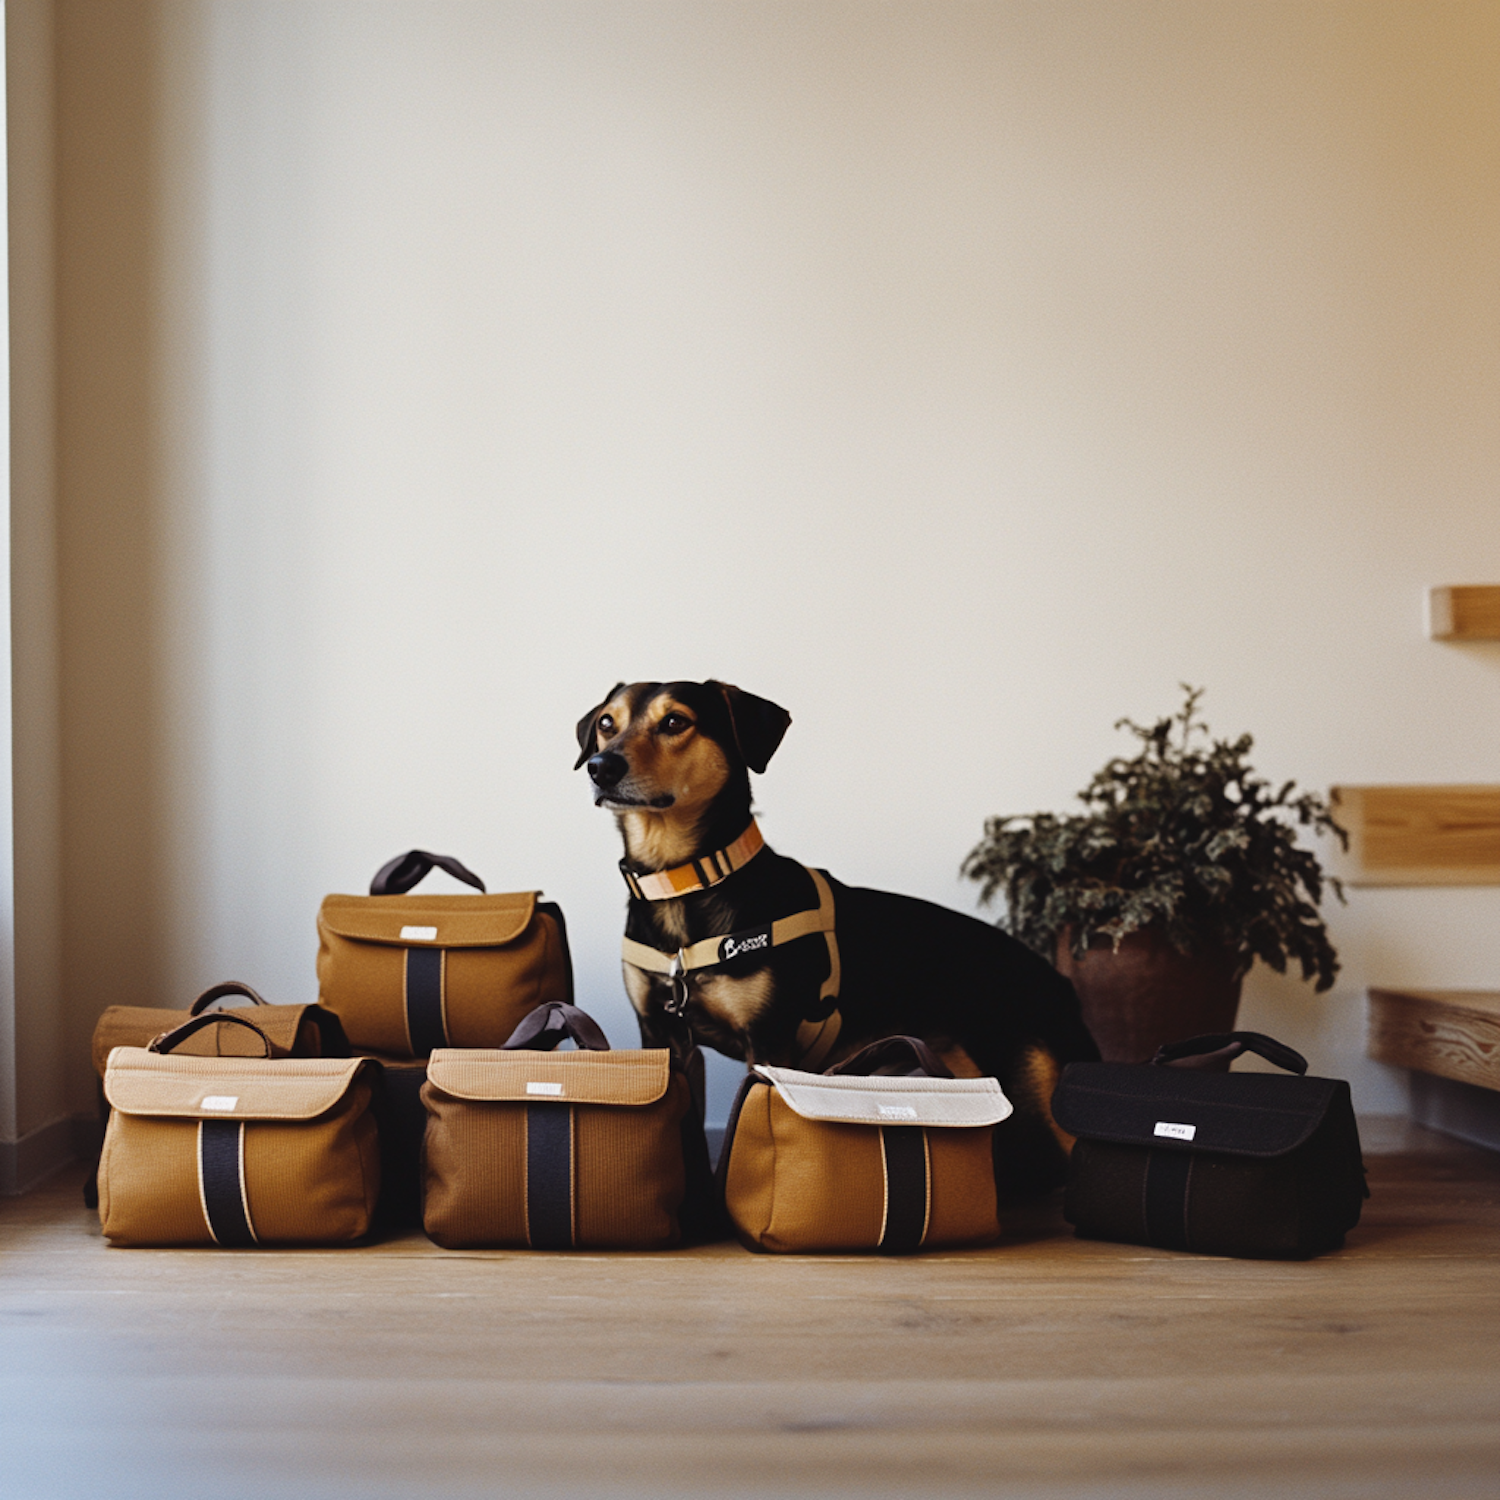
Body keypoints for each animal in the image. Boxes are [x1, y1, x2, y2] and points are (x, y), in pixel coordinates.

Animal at [573, 681, 1104, 1194]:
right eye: (606, 724)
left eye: (675, 722)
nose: (601, 767)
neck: (687, 883)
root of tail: (1057, 978)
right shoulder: (662, 1038)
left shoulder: (768, 1040)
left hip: (1040, 1083)